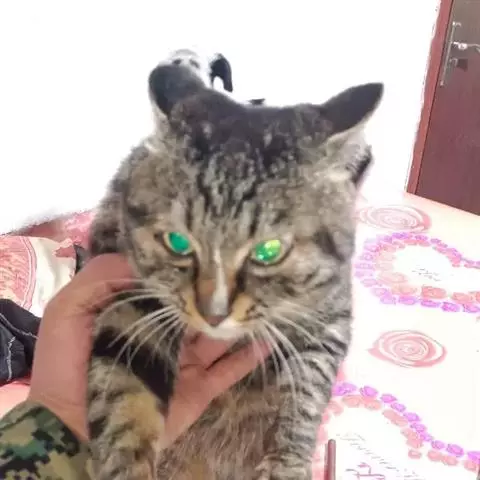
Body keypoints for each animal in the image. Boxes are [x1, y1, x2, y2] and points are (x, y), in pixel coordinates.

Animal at [86, 61, 383, 480]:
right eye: (178, 242)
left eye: (268, 251)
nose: (214, 313)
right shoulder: (132, 294)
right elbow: (125, 397)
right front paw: (126, 464)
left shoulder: (328, 320)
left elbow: (305, 390)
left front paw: (287, 462)